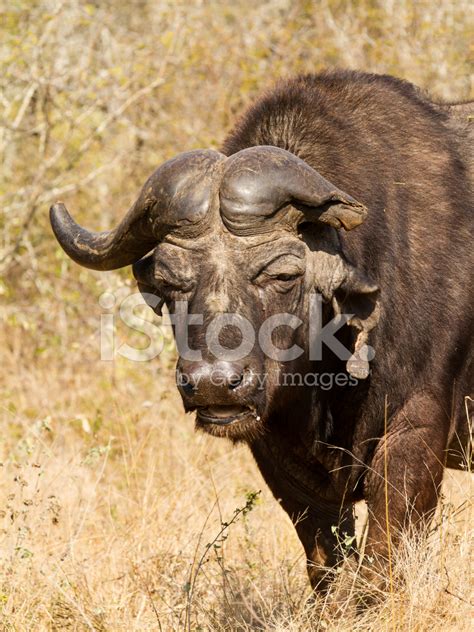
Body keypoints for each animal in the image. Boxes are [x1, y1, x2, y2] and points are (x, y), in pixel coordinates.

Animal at [50, 71, 472, 592]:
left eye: (283, 274)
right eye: (168, 282)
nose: (213, 383)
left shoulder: (416, 434)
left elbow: (381, 561)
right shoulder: (280, 455)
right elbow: (326, 559)